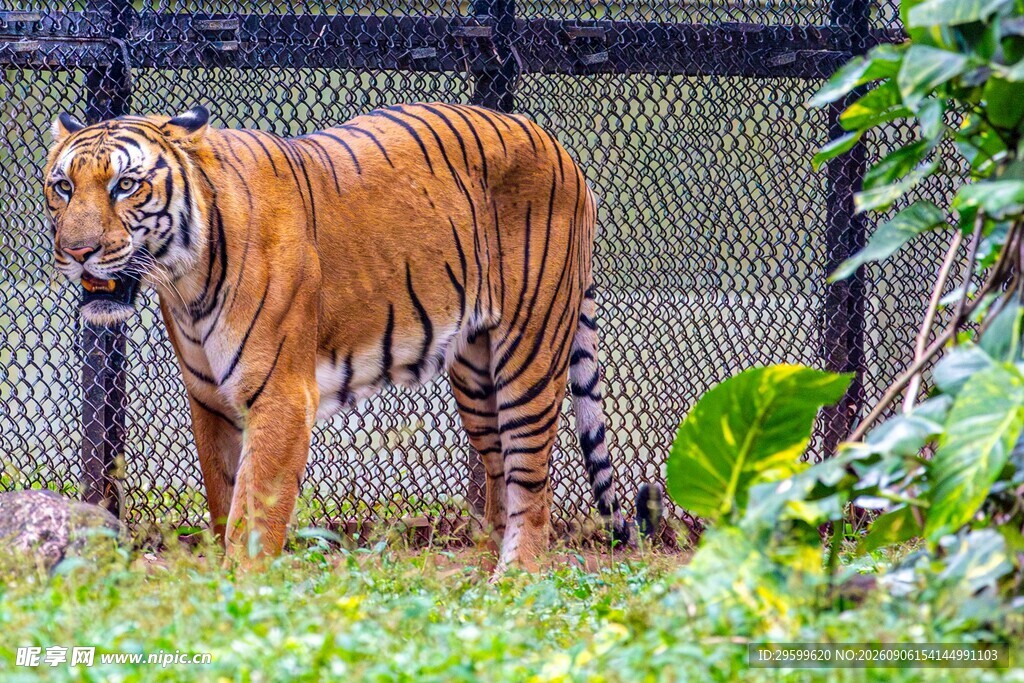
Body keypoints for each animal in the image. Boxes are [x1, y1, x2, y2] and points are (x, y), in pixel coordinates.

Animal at [43, 102, 661, 572]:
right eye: (63, 186)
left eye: (126, 185)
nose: (76, 252)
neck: (185, 280)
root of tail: (559, 148)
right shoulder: (211, 402)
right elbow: (224, 502)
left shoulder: (282, 396)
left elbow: (254, 513)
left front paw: (242, 596)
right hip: (476, 371)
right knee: (499, 473)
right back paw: (482, 572)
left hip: (528, 352)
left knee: (533, 482)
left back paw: (514, 579)